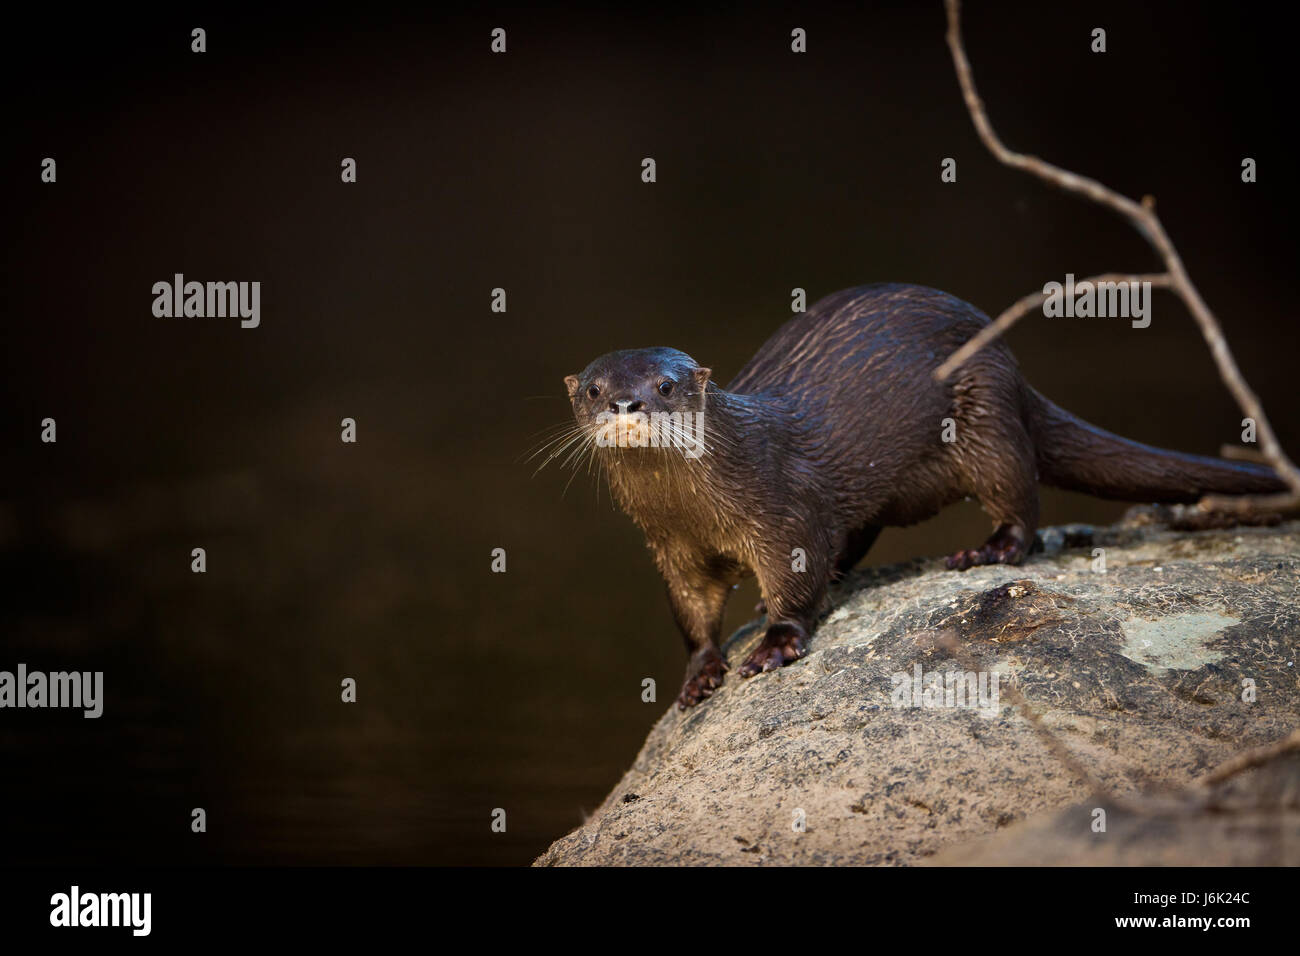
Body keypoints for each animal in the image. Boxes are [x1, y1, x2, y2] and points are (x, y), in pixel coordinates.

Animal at [559, 280, 1289, 707]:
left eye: (666, 385)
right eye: (593, 389)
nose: (625, 403)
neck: (700, 511)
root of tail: (1012, 366)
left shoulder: (782, 509)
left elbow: (796, 577)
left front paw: (773, 644)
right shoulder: (672, 549)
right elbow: (691, 614)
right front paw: (701, 672)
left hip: (987, 420)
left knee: (1022, 501)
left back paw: (985, 551)